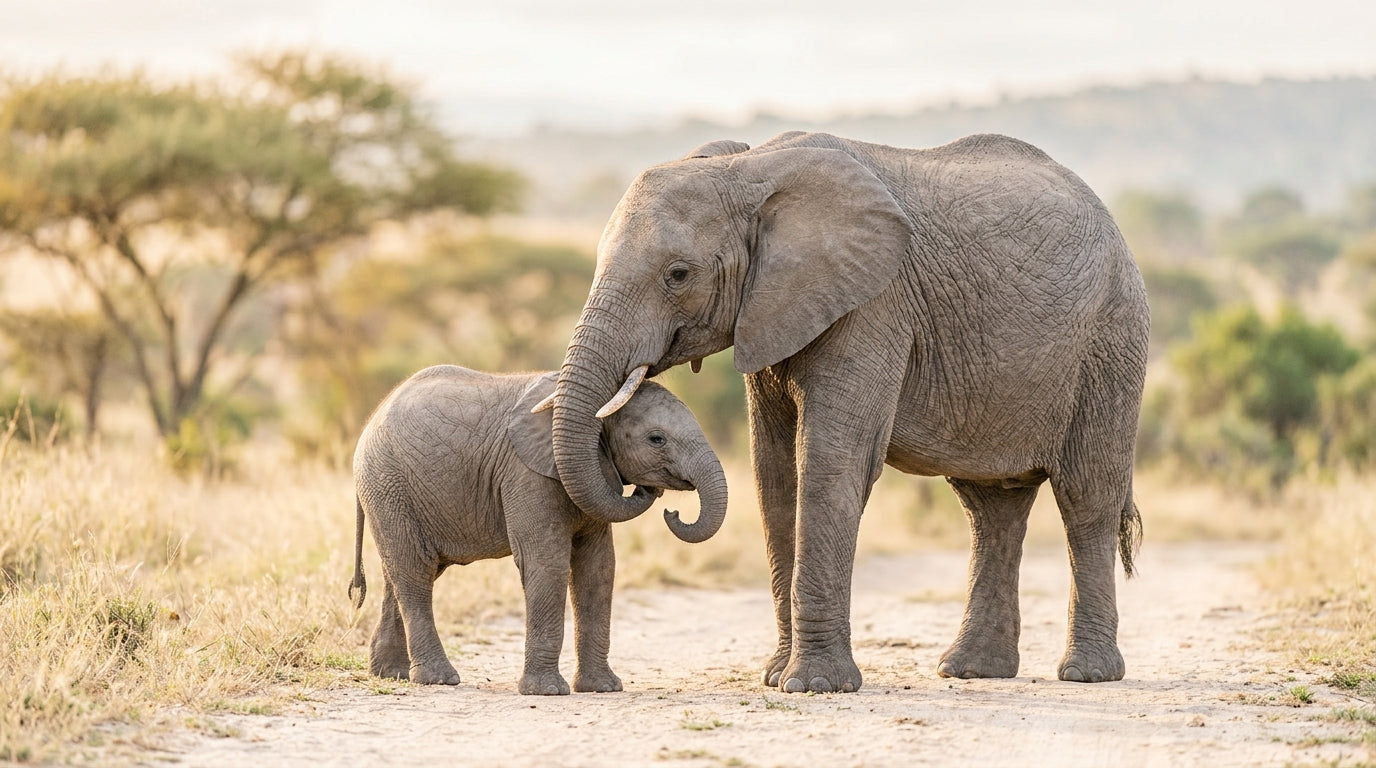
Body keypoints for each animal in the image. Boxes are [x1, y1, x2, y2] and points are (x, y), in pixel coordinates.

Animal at [347, 365, 726, 694]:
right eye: (657, 439)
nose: (668, 506)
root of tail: (369, 424)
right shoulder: (527, 474)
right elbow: (546, 562)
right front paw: (547, 692)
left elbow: (599, 568)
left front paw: (602, 688)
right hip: (388, 485)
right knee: (415, 572)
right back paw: (438, 679)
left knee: (404, 573)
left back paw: (392, 674)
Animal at [545, 131, 1149, 694]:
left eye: (678, 274)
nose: (666, 505)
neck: (749, 168)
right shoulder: (771, 310)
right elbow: (775, 473)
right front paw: (775, 676)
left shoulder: (873, 304)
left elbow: (832, 462)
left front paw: (813, 685)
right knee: (992, 507)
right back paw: (971, 670)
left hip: (1110, 342)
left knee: (1086, 496)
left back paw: (1087, 674)